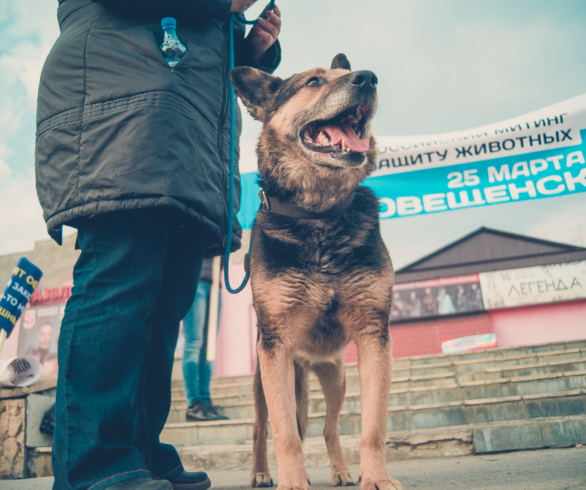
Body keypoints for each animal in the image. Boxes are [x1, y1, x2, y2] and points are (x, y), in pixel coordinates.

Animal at [232, 53, 402, 490]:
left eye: (347, 73)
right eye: (312, 82)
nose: (368, 78)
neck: (319, 215)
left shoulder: (374, 336)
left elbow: (374, 425)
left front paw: (376, 478)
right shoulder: (275, 347)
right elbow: (285, 433)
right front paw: (293, 482)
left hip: (335, 376)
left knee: (329, 427)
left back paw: (341, 471)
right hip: (265, 382)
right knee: (261, 428)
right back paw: (261, 473)